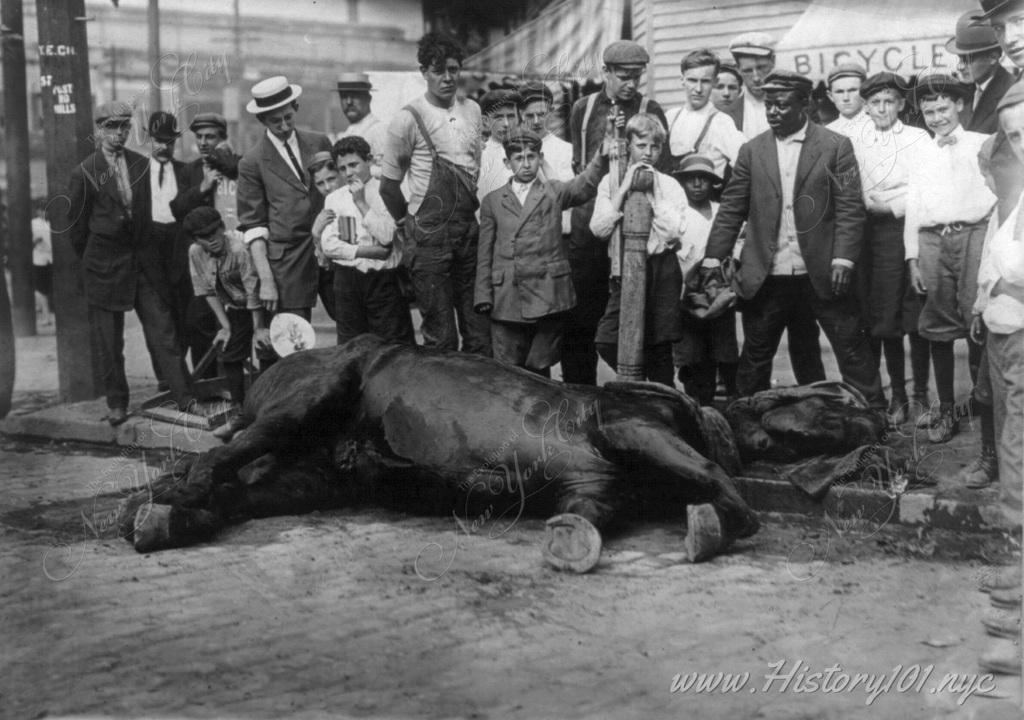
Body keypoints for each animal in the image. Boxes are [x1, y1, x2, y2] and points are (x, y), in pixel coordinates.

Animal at [123, 333, 757, 573]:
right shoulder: (628, 427)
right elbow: (709, 472)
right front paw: (728, 518)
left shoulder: (594, 488)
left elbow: (582, 522)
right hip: (314, 399)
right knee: (217, 464)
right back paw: (168, 502)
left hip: (312, 476)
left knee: (236, 492)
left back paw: (158, 518)